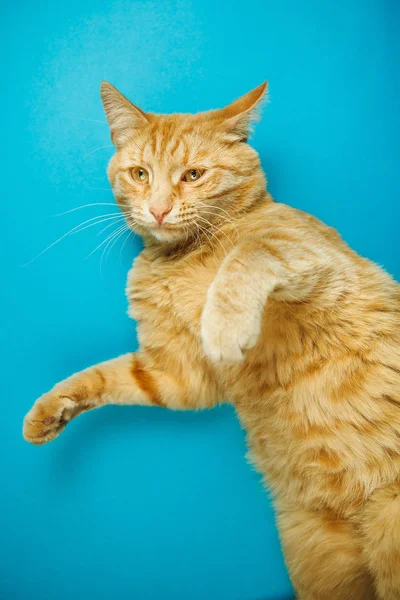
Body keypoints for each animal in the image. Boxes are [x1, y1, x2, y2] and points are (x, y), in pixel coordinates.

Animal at [23, 81, 400, 600]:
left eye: (194, 175)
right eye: (140, 174)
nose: (159, 209)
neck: (181, 257)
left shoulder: (318, 266)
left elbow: (250, 253)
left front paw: (223, 324)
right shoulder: (176, 374)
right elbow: (107, 376)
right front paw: (49, 412)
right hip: (319, 559)